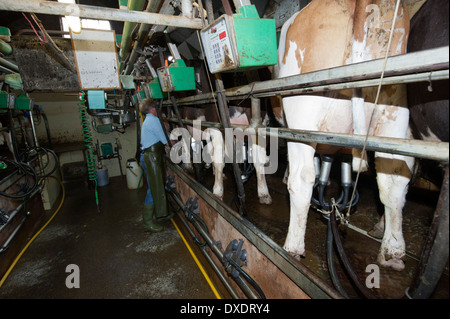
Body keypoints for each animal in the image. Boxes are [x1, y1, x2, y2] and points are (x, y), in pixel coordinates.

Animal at [274, 0, 414, 272]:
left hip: (303, 114)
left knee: (302, 177)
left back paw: (292, 248)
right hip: (394, 111)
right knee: (393, 180)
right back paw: (392, 252)